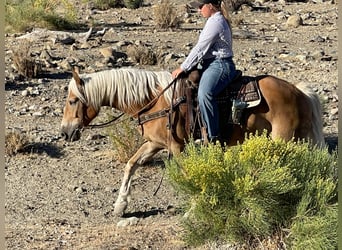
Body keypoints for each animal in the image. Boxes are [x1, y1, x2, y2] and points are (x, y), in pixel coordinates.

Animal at [60, 67, 324, 216]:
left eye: (72, 101)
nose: (64, 132)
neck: (155, 100)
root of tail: (299, 92)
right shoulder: (154, 143)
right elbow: (131, 165)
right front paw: (119, 205)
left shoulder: (177, 147)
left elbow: (189, 175)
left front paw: (194, 209)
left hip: (284, 139)